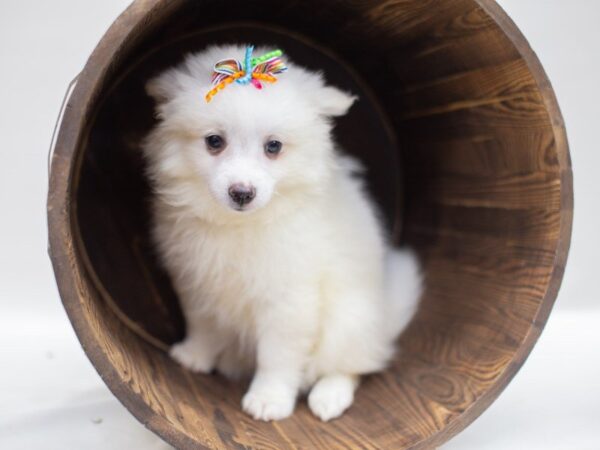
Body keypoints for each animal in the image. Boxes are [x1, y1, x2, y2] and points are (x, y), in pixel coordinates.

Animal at [142, 44, 420, 422]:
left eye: (273, 146)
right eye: (214, 141)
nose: (241, 193)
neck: (240, 225)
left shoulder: (289, 299)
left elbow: (277, 355)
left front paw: (269, 399)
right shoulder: (197, 280)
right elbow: (202, 322)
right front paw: (195, 355)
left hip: (349, 320)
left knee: (352, 365)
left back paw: (329, 397)